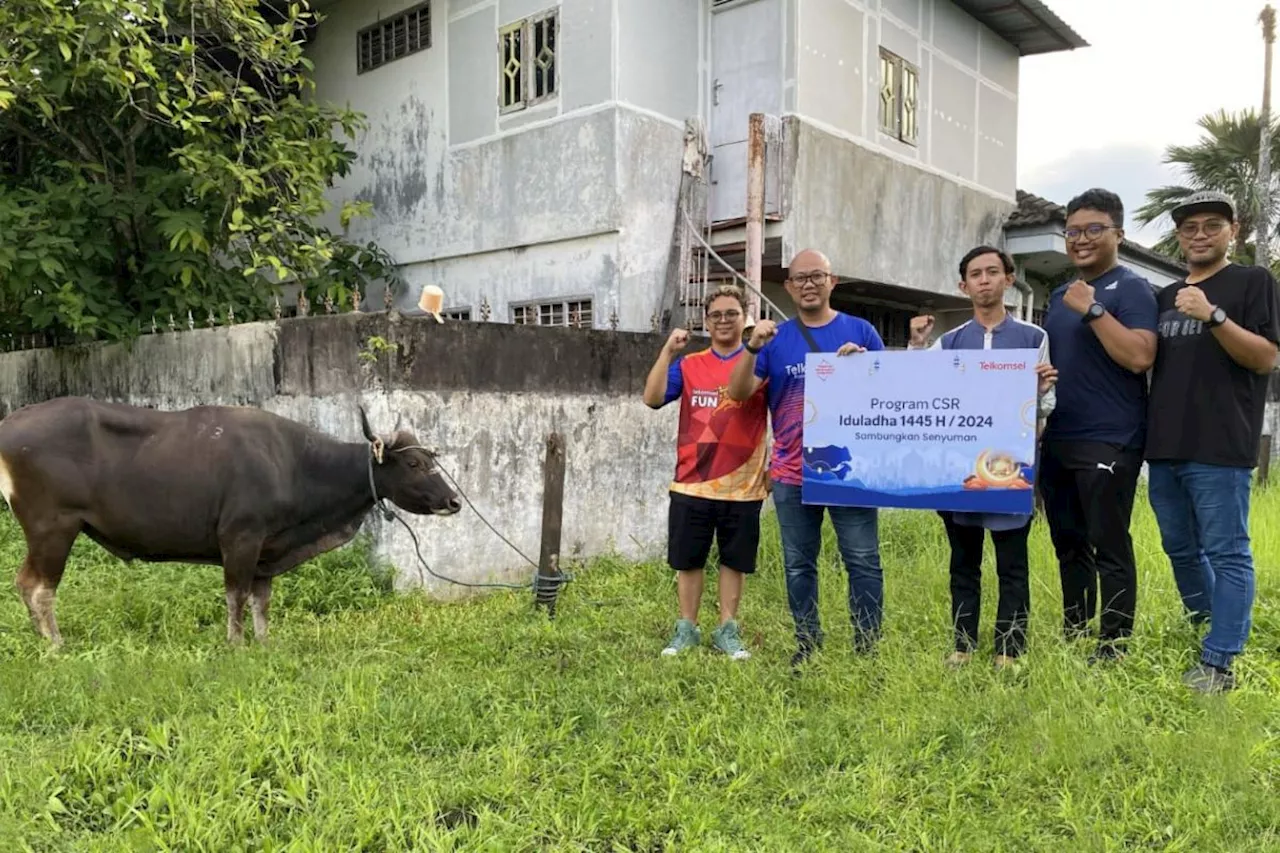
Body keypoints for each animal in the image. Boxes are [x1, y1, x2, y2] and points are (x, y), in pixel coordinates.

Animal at [0, 399, 460, 645]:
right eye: (415, 464)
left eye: (431, 459)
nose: (454, 500)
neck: (293, 463)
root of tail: (10, 425)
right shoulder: (241, 537)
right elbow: (236, 596)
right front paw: (236, 643)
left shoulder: (268, 550)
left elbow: (261, 600)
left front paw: (263, 641)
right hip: (52, 527)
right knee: (37, 587)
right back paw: (55, 644)